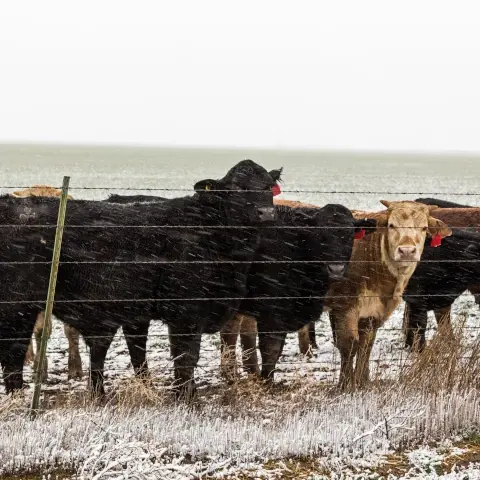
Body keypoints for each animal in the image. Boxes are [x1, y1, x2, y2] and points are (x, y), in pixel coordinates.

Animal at [220, 202, 376, 378]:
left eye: (349, 235)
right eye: (320, 234)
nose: (336, 269)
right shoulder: (271, 314)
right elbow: (271, 351)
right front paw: (266, 380)